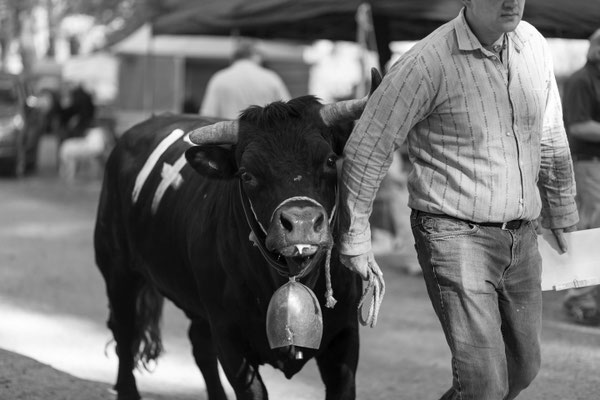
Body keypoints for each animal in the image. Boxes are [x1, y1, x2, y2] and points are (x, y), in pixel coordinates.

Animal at [95, 70, 380, 398]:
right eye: (247, 174)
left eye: (331, 160)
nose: (302, 222)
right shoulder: (229, 336)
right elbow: (252, 390)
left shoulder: (345, 336)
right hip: (117, 269)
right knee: (123, 330)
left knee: (198, 344)